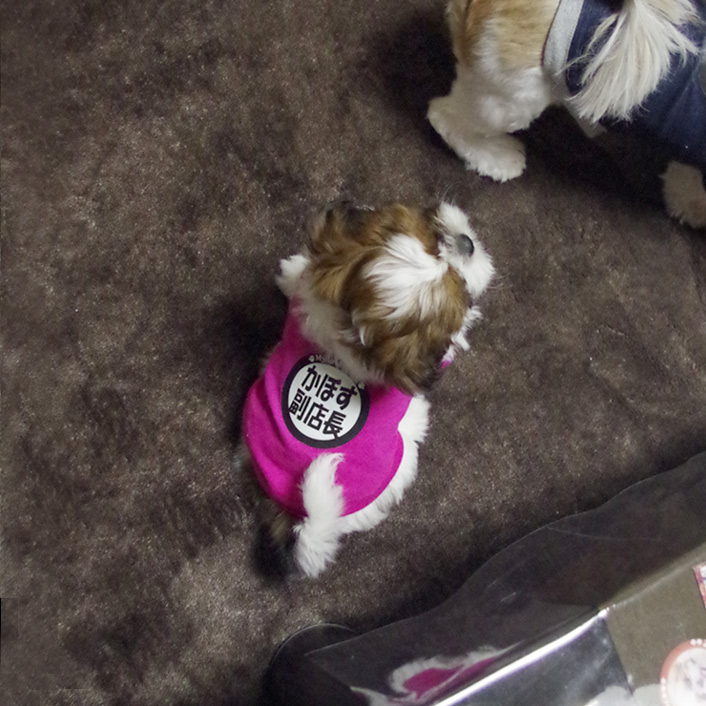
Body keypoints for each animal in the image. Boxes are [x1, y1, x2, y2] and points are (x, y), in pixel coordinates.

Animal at [236, 201, 495, 578]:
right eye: (459, 288)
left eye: (435, 237)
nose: (467, 243)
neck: (347, 326)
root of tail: (299, 513)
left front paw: (292, 270)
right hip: (399, 463)